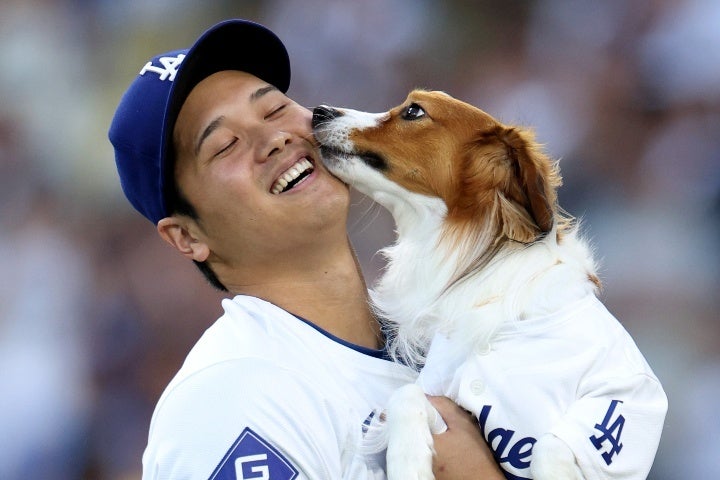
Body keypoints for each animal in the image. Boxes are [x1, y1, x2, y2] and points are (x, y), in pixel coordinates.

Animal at [312, 91, 668, 480]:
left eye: (414, 111)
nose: (319, 112)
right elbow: (405, 396)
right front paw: (409, 461)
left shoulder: (626, 397)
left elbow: (549, 444)